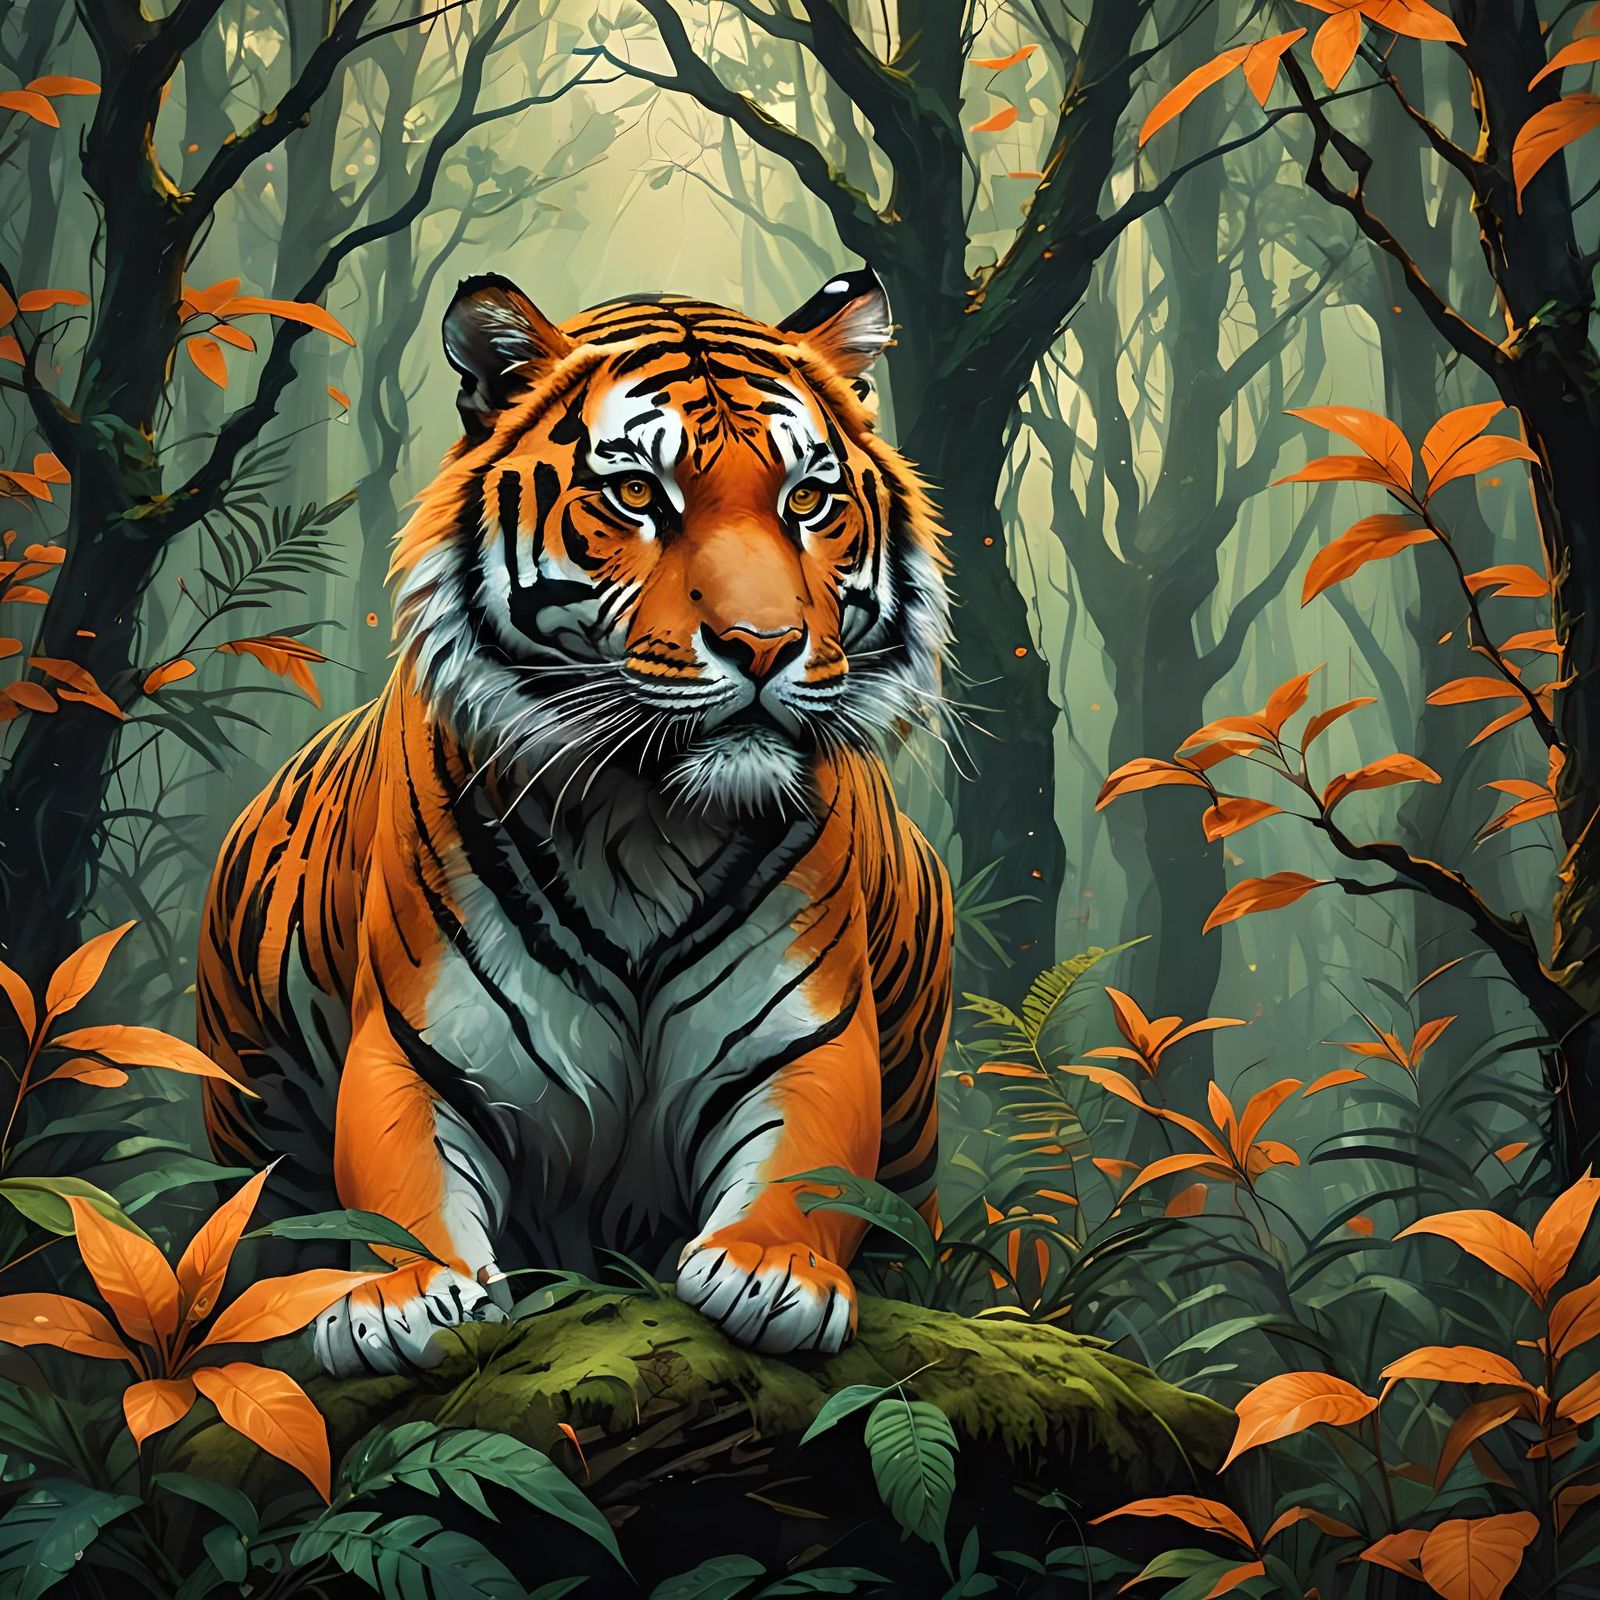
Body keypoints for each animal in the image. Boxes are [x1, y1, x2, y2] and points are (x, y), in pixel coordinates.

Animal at [196, 267, 954, 1376]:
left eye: (807, 500)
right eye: (637, 495)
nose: (764, 644)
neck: (646, 821)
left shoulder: (809, 1040)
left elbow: (809, 1166)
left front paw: (772, 1272)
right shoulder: (417, 1047)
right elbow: (399, 1182)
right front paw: (403, 1299)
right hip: (248, 1113)